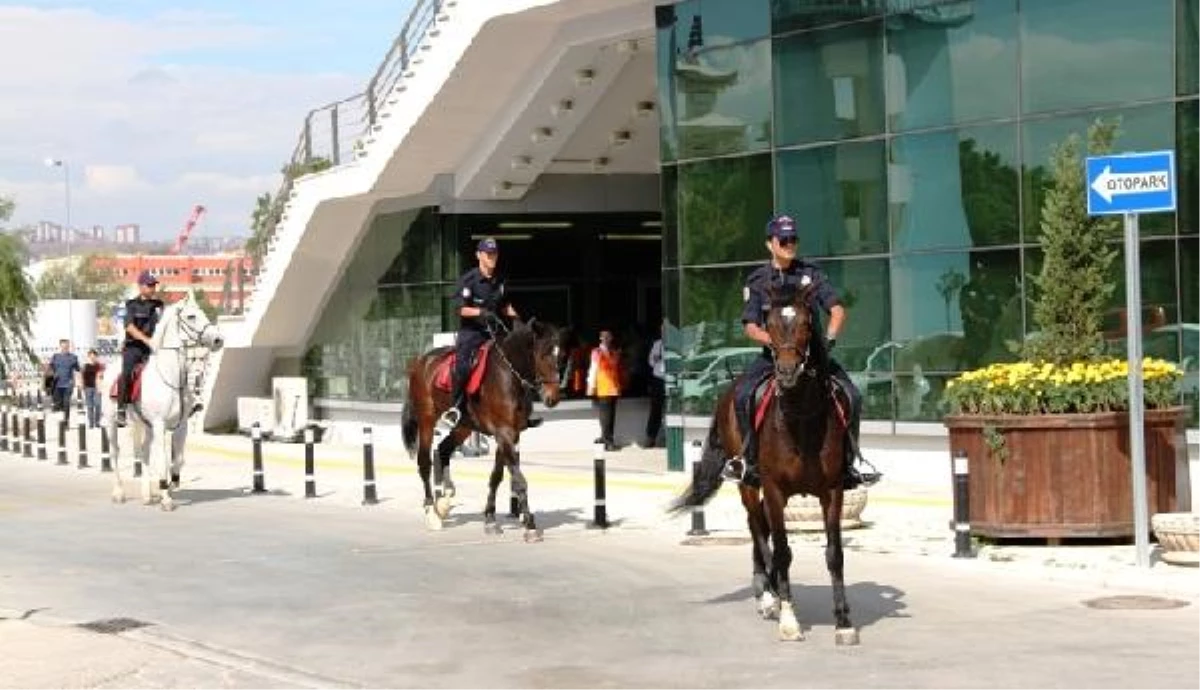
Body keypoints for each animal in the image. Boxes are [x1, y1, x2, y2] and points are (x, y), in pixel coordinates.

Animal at [99, 291, 224, 513]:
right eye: (191, 316)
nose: (218, 340)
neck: (170, 377)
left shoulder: (180, 426)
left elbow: (178, 460)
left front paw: (170, 485)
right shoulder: (159, 424)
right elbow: (164, 460)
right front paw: (166, 498)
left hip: (145, 425)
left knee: (144, 452)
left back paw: (148, 494)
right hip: (112, 423)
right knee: (114, 453)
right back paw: (119, 493)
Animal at [400, 316, 568, 540]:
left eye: (562, 356)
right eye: (542, 355)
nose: (553, 398)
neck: (509, 375)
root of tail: (420, 362)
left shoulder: (510, 435)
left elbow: (497, 476)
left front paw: (490, 518)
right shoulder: (504, 433)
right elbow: (519, 479)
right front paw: (530, 525)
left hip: (464, 426)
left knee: (443, 450)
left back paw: (445, 500)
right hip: (427, 420)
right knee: (425, 462)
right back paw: (431, 512)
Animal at [672, 283, 859, 643]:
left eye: (806, 323)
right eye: (769, 324)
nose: (786, 372)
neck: (801, 416)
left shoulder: (833, 491)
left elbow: (835, 553)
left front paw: (844, 621)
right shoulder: (773, 489)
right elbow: (783, 550)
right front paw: (788, 617)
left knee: (760, 525)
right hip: (748, 482)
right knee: (757, 527)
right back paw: (769, 593)